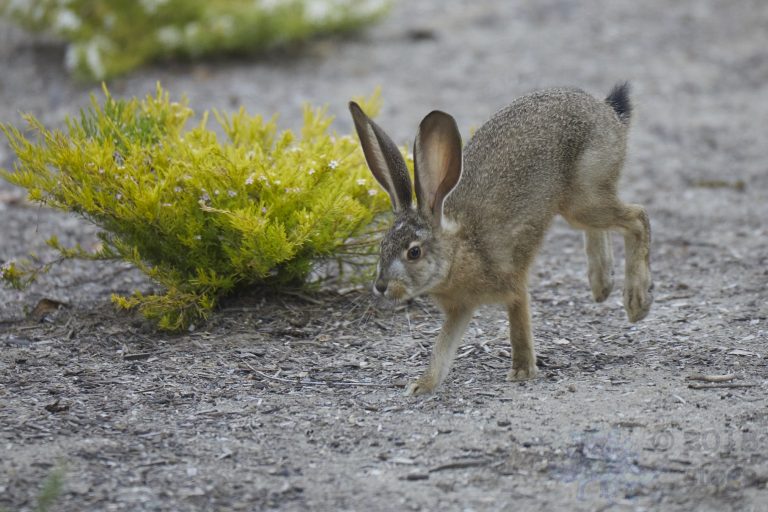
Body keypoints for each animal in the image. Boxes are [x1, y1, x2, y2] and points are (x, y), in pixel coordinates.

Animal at [348, 83, 652, 396]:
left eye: (414, 252)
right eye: (382, 246)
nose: (381, 286)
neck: (457, 253)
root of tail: (608, 113)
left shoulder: (511, 282)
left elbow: (518, 325)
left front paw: (522, 371)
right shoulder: (460, 308)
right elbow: (442, 347)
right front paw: (423, 385)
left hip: (584, 196)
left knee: (637, 217)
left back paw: (636, 302)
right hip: (579, 204)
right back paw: (601, 284)